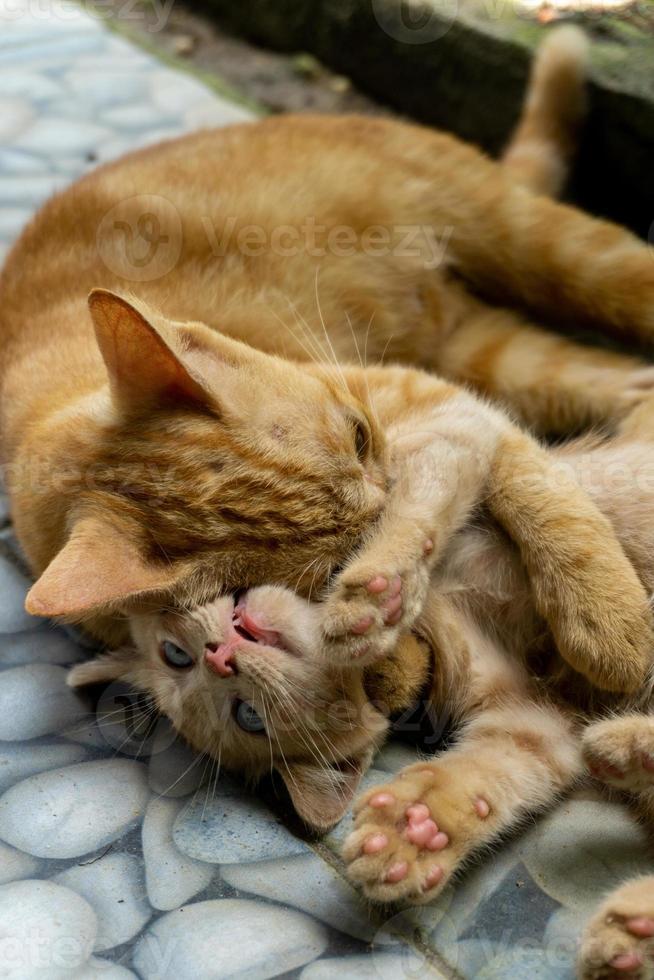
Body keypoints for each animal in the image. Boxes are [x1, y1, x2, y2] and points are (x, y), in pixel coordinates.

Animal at [1, 30, 654, 688]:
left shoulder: (434, 398)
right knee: (630, 381)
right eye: (337, 560)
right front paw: (385, 619)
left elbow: (541, 493)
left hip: (551, 248)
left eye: (360, 438)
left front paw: (607, 615)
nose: (396, 486)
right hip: (494, 353)